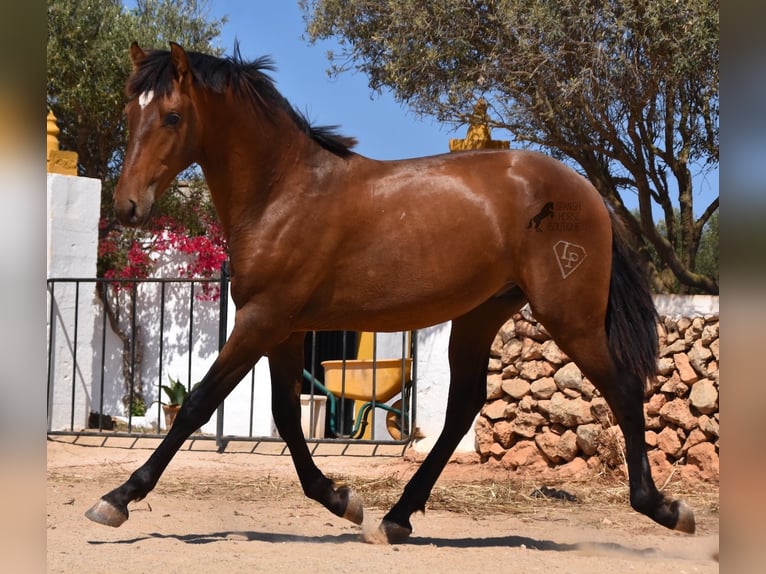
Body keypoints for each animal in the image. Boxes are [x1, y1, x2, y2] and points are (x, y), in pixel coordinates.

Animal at [84, 41, 696, 544]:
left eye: (172, 115)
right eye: (130, 111)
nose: (128, 206)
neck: (283, 192)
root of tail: (585, 190)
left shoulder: (261, 319)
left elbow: (197, 405)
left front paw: (117, 499)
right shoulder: (282, 327)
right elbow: (286, 414)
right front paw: (339, 499)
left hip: (570, 316)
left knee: (623, 389)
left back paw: (664, 508)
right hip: (480, 316)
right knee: (462, 409)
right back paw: (397, 516)